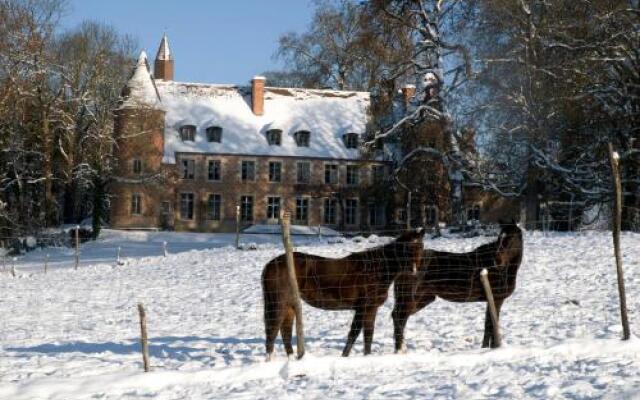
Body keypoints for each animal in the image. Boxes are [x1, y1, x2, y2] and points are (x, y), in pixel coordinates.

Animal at [262, 228, 428, 360]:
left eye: (420, 246)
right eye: (406, 247)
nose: (414, 270)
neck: (377, 269)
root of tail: (271, 264)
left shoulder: (371, 308)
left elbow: (368, 334)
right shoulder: (363, 307)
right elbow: (354, 333)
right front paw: (345, 356)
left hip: (289, 305)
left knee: (285, 332)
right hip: (278, 303)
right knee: (273, 330)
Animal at [392, 223, 524, 352]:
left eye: (512, 238)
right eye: (500, 237)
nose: (497, 260)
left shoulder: (492, 299)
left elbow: (489, 324)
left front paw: (487, 347)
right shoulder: (496, 299)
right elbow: (491, 324)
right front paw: (491, 347)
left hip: (422, 298)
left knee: (399, 317)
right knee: (399, 317)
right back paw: (399, 350)